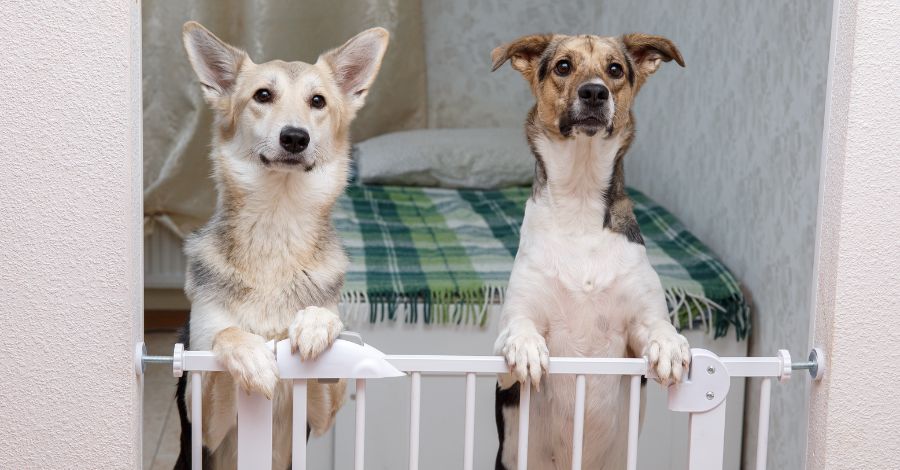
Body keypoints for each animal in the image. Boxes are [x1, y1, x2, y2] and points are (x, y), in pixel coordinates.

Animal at [174, 20, 388, 468]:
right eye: (262, 95)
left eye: (318, 101)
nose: (294, 137)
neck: (277, 223)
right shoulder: (203, 418)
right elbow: (226, 334)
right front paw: (253, 356)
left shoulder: (319, 414)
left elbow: (328, 339)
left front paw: (315, 325)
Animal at [488, 34, 692, 470]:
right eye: (563, 66)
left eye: (615, 69)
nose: (595, 92)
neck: (580, 201)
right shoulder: (505, 353)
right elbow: (519, 331)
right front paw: (527, 348)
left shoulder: (637, 328)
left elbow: (658, 328)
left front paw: (669, 345)